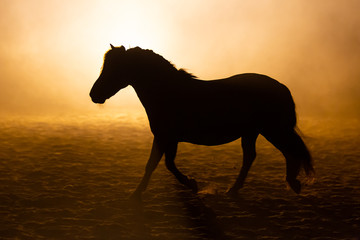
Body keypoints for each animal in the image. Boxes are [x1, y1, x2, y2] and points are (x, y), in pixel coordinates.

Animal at [88, 45, 314, 199]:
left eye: (114, 69)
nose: (93, 95)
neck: (167, 92)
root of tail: (281, 86)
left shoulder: (166, 137)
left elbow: (161, 164)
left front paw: (190, 184)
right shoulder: (165, 138)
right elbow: (157, 164)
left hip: (272, 129)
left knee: (289, 151)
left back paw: (291, 183)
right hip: (253, 132)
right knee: (254, 156)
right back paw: (235, 189)